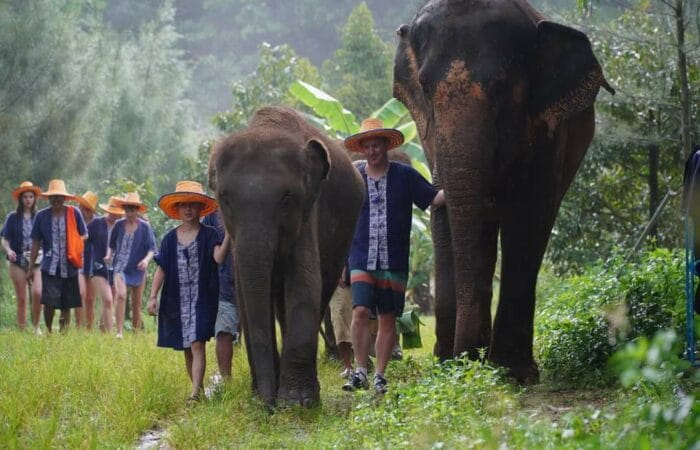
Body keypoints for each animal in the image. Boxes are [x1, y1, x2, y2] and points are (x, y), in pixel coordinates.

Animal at [208, 106, 364, 408]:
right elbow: (245, 294)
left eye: (287, 199)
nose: (267, 405)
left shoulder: (309, 212)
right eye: (225, 199)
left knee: (323, 287)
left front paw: (296, 403)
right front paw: (264, 398)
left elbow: (304, 283)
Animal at [394, 0, 612, 382]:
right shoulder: (429, 138)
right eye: (423, 86)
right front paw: (452, 365)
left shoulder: (547, 131)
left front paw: (513, 372)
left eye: (501, 87)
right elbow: (445, 216)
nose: (465, 358)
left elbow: (529, 215)